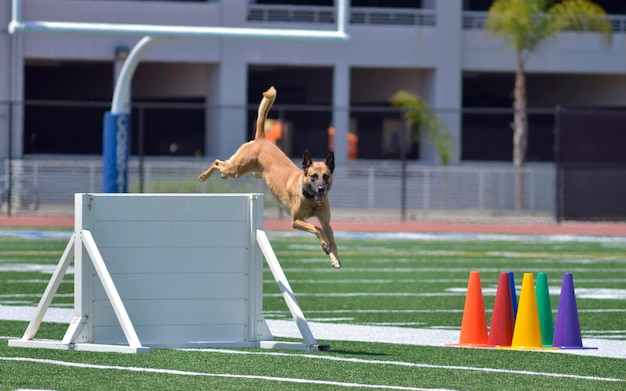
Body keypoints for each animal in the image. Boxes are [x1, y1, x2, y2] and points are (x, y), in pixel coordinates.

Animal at [197, 86, 338, 270]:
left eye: (325, 176)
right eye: (313, 177)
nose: (321, 189)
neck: (310, 198)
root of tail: (262, 138)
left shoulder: (326, 222)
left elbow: (332, 237)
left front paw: (334, 258)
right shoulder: (296, 221)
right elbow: (316, 228)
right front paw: (325, 246)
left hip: (248, 171)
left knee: (223, 165)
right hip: (236, 169)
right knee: (217, 162)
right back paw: (204, 175)